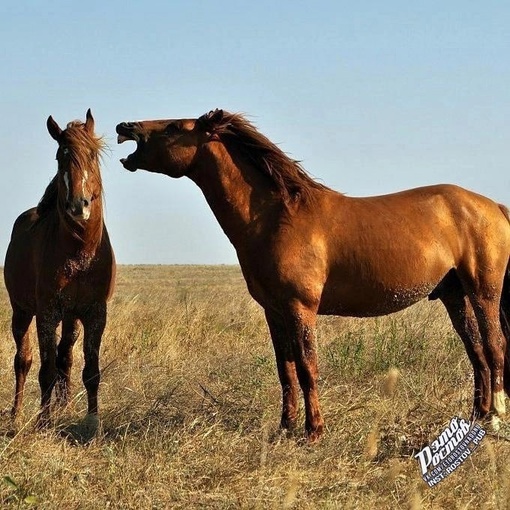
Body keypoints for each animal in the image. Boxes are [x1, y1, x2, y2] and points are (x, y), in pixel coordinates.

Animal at [4, 109, 115, 428]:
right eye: (59, 157)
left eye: (92, 154)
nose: (78, 205)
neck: (79, 252)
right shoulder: (47, 313)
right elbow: (46, 369)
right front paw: (43, 421)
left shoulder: (94, 313)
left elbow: (89, 369)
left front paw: (92, 420)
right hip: (22, 312)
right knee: (23, 360)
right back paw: (17, 412)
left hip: (71, 319)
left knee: (64, 355)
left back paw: (62, 406)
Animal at [116, 108, 510, 442]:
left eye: (174, 127)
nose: (125, 127)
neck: (277, 217)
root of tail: (492, 206)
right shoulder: (274, 312)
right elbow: (286, 370)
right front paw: (285, 428)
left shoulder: (300, 307)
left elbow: (307, 367)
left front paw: (314, 431)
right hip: (453, 294)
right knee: (475, 351)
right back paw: (476, 417)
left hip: (483, 292)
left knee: (493, 346)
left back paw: (494, 417)